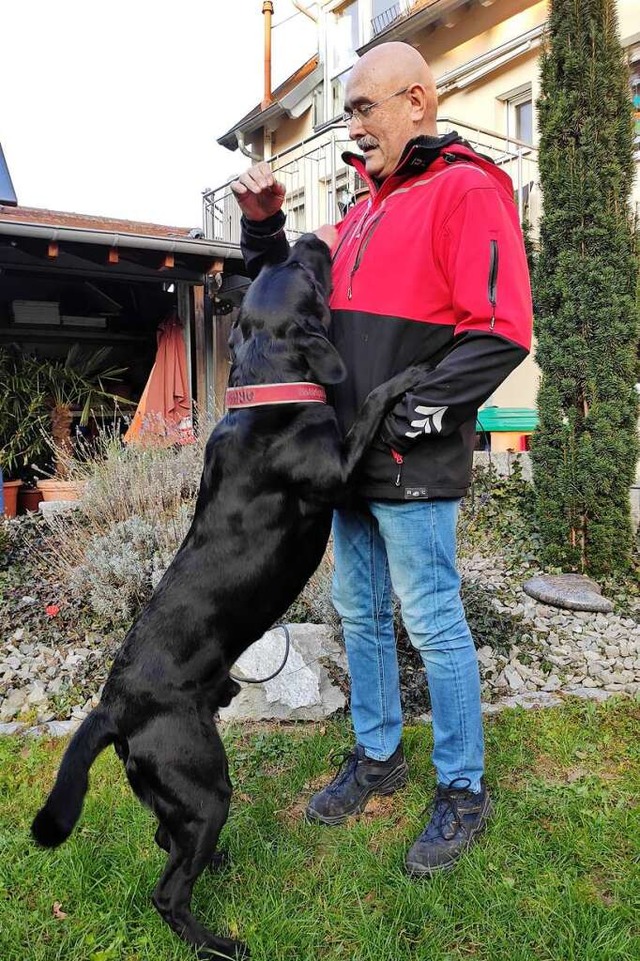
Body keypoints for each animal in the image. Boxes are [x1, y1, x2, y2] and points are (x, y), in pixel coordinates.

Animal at [32, 234, 428, 960]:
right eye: (304, 272)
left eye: (285, 264)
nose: (308, 237)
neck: (269, 389)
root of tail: (115, 704)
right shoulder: (338, 472)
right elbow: (368, 406)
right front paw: (407, 377)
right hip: (205, 781)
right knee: (167, 888)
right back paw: (216, 941)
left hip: (181, 792)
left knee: (167, 836)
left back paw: (213, 865)